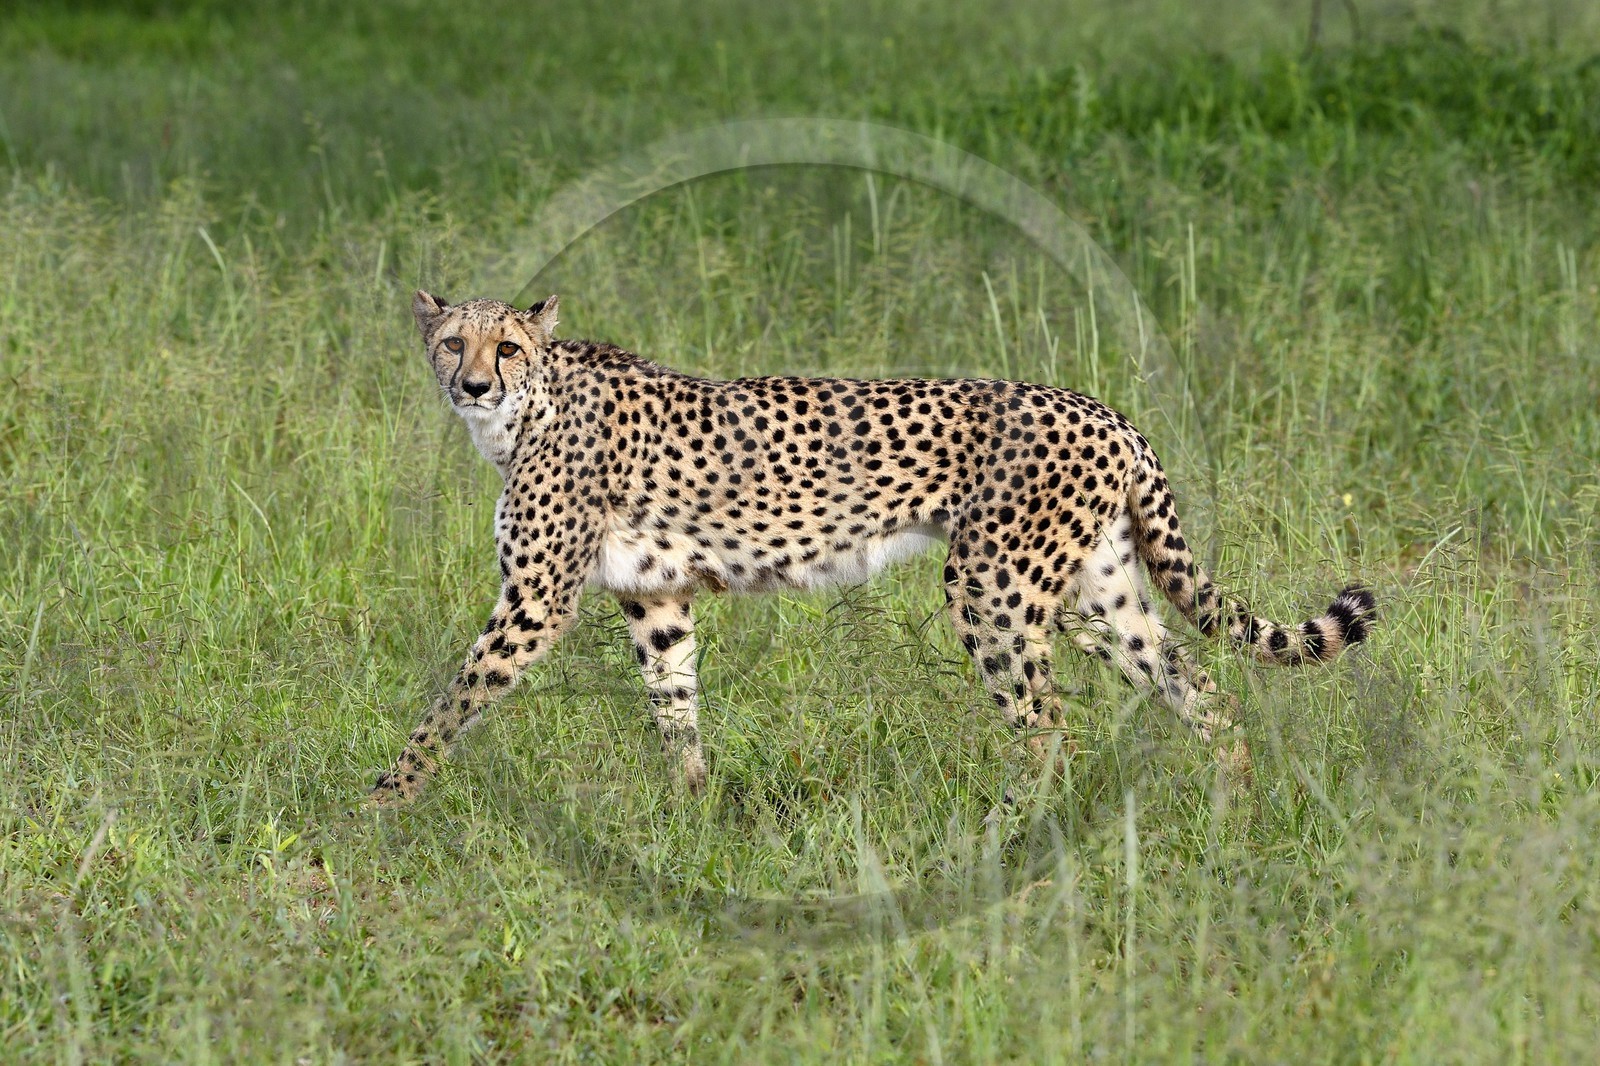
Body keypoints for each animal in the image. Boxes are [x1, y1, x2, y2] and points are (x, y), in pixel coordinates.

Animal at [369, 290, 1376, 806]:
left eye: (505, 347)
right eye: (453, 341)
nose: (470, 383)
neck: (525, 412)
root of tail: (1101, 407)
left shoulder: (535, 601)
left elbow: (452, 699)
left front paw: (383, 800)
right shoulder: (655, 598)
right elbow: (675, 706)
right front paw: (695, 812)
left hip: (992, 586)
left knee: (1049, 725)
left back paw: (1011, 838)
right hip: (1096, 594)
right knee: (1198, 687)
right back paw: (1235, 806)